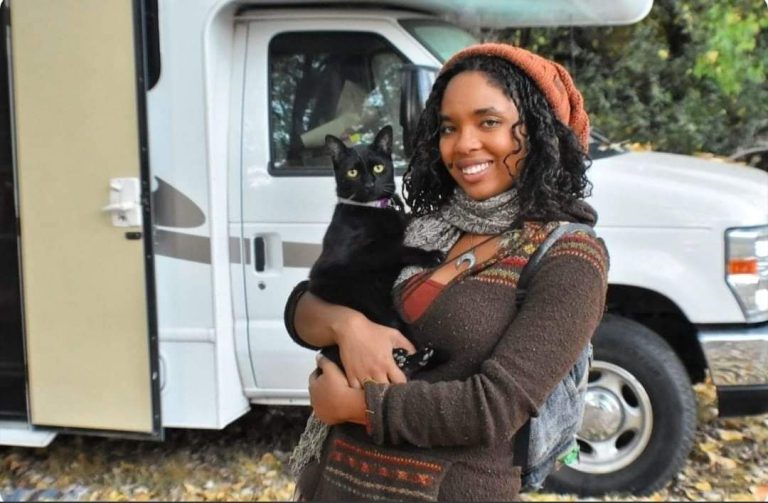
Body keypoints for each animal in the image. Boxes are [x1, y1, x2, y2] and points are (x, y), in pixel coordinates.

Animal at [304, 127, 438, 374]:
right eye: (353, 172)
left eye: (378, 168)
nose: (368, 184)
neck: (376, 209)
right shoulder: (349, 258)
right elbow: (395, 249)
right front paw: (429, 255)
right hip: (367, 302)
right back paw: (412, 358)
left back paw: (420, 356)